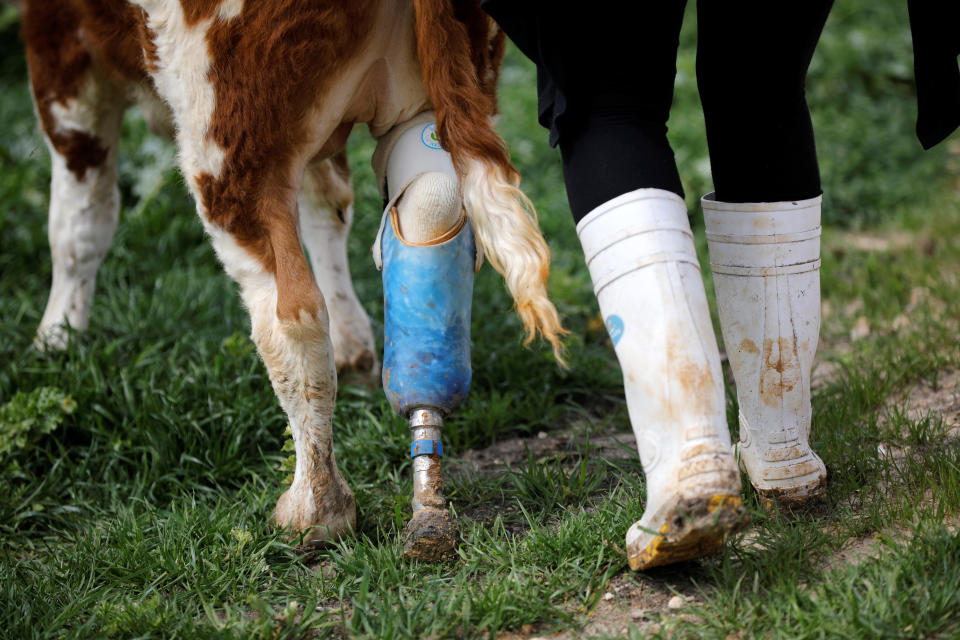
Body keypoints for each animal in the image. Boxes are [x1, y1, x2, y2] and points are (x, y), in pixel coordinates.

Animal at [18, 0, 568, 552]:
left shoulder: (61, 59)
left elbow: (76, 226)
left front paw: (55, 340)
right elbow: (328, 203)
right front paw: (355, 346)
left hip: (227, 139)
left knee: (290, 315)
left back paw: (316, 507)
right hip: (439, 91)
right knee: (430, 201)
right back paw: (425, 504)